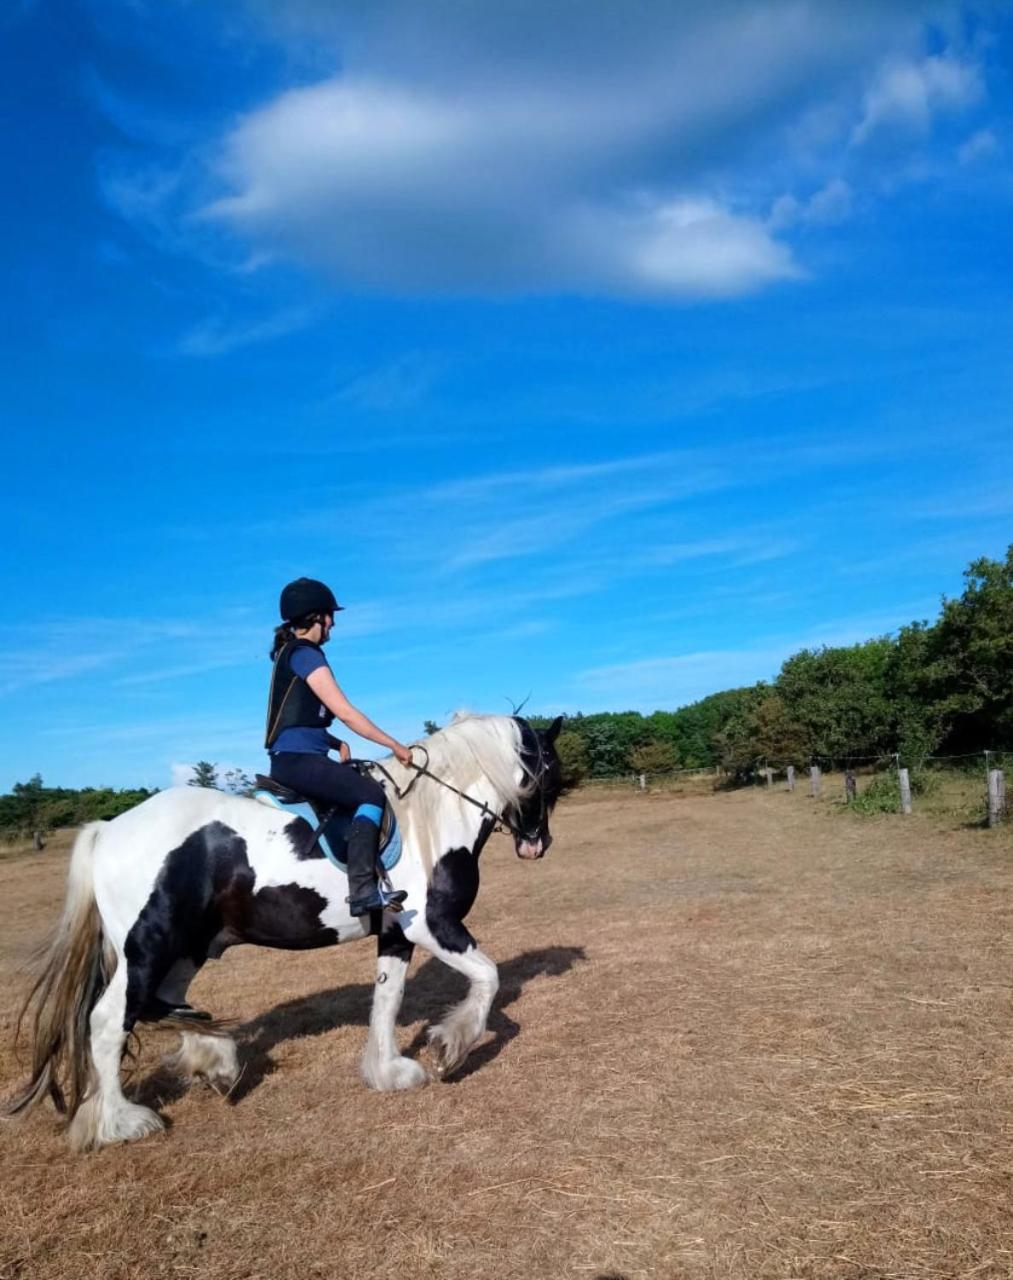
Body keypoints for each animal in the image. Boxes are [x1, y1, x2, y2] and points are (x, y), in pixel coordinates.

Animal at [5, 713, 563, 1152]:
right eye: (547, 775)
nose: (537, 845)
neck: (431, 817)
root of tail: (109, 829)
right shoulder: (434, 926)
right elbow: (489, 978)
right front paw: (450, 1048)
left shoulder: (399, 934)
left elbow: (388, 999)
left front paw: (389, 1072)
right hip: (147, 948)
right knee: (109, 1020)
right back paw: (123, 1122)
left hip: (188, 947)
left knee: (170, 1004)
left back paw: (216, 1064)